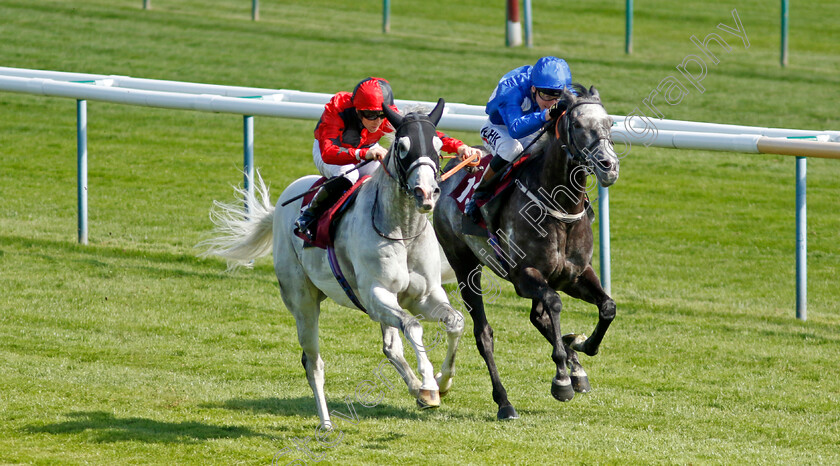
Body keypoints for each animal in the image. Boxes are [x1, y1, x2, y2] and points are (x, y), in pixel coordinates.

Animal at [201, 101, 470, 430]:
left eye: (438, 146)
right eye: (403, 146)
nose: (426, 193)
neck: (402, 231)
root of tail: (281, 205)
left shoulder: (423, 296)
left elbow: (455, 322)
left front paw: (441, 383)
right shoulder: (376, 295)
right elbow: (413, 325)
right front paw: (430, 384)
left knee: (391, 346)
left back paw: (414, 387)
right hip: (302, 301)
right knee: (313, 361)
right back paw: (326, 422)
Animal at [434, 83, 616, 418]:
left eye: (610, 123)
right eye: (578, 125)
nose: (609, 167)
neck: (560, 207)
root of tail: (451, 166)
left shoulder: (575, 274)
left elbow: (607, 307)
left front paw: (581, 346)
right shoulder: (523, 276)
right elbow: (554, 303)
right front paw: (561, 379)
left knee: (537, 317)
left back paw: (575, 364)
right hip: (464, 264)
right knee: (484, 333)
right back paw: (504, 402)